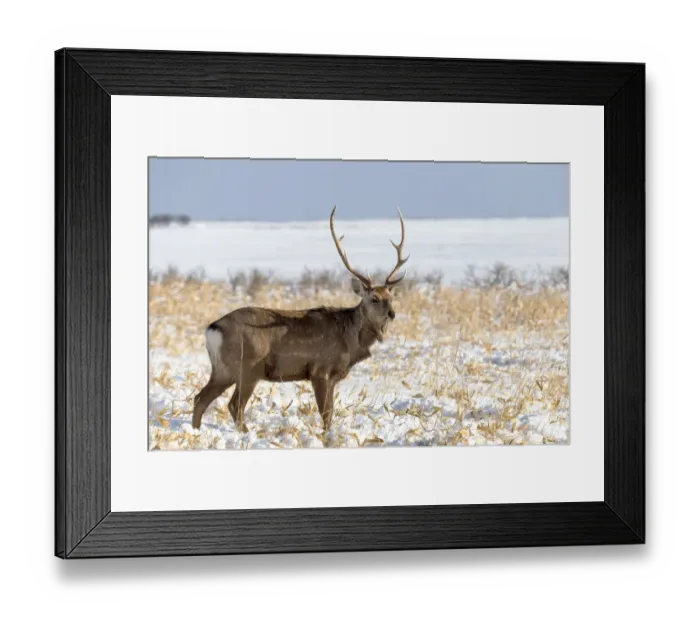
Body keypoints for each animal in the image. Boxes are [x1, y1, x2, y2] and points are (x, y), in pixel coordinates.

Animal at [192, 205, 410, 445]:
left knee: (200, 398)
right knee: (234, 405)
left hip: (223, 370)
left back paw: (195, 433)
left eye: (391, 297)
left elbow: (330, 412)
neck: (350, 340)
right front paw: (326, 439)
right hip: (247, 367)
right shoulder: (320, 369)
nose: (392, 314)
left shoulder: (333, 376)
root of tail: (212, 329)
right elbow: (326, 414)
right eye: (374, 299)